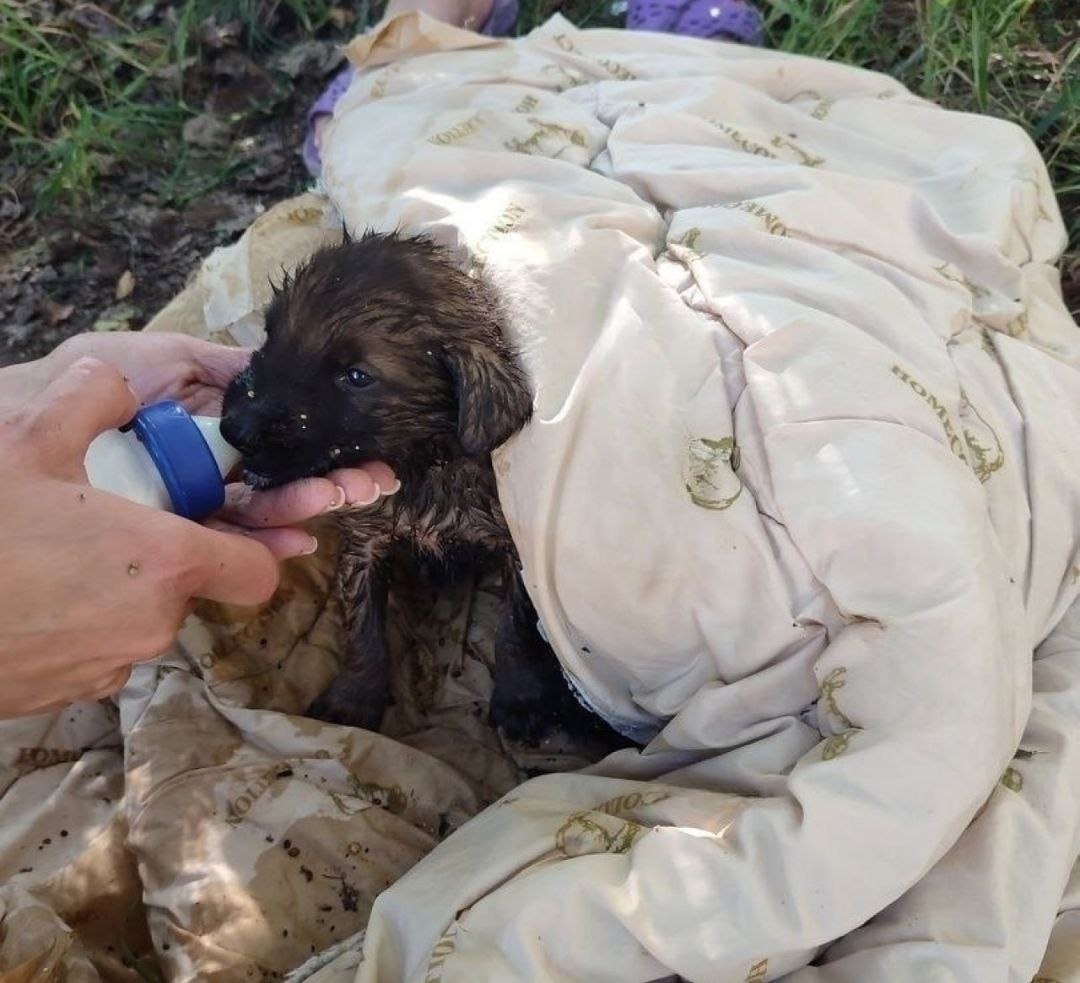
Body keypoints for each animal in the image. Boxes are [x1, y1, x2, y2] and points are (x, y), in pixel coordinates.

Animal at [219, 233, 626, 747]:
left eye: (357, 376)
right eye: (271, 334)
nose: (234, 428)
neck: (424, 466)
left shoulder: (512, 548)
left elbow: (515, 628)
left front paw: (520, 696)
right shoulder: (365, 543)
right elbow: (363, 629)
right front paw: (354, 696)